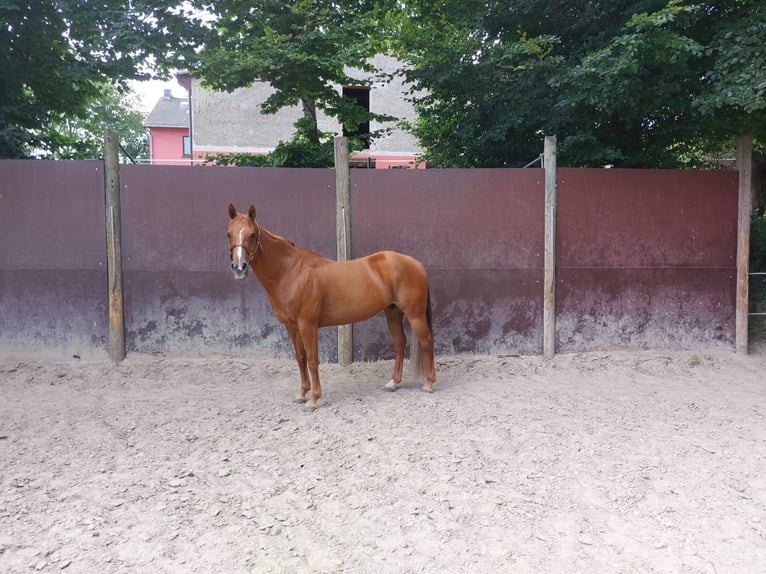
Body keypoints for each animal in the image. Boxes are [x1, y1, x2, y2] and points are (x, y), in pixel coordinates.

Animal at [227, 203, 436, 410]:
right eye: (229, 234)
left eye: (252, 234)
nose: (239, 268)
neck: (291, 273)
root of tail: (414, 263)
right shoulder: (291, 326)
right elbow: (301, 358)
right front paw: (301, 394)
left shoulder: (308, 325)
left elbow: (312, 360)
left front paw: (313, 399)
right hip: (393, 313)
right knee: (400, 343)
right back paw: (393, 383)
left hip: (415, 314)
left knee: (426, 341)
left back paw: (428, 383)